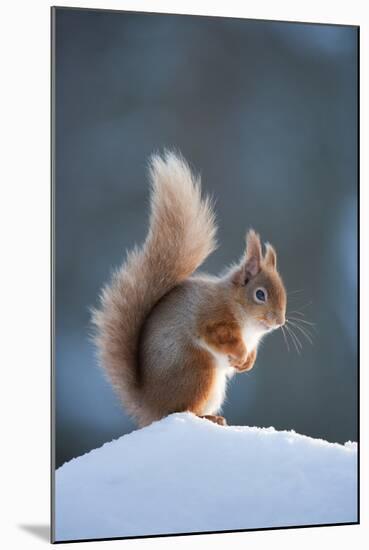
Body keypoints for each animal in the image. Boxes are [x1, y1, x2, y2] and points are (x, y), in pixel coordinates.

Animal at [92, 153, 288, 430]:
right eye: (260, 294)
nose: (279, 322)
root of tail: (151, 407)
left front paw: (247, 363)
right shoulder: (213, 319)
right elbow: (220, 336)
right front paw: (240, 356)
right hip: (199, 371)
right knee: (182, 409)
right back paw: (208, 417)